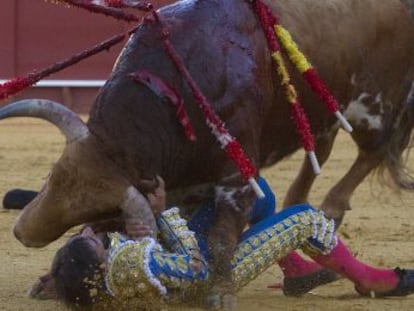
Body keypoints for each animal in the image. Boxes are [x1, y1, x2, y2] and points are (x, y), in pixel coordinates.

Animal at [0, 0, 414, 308]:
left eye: (105, 209)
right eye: (51, 177)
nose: (21, 233)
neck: (172, 94)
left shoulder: (236, 179)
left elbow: (220, 239)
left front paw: (221, 293)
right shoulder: (186, 183)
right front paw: (46, 282)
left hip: (373, 105)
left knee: (372, 152)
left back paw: (333, 209)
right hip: (320, 112)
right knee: (321, 150)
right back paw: (302, 205)